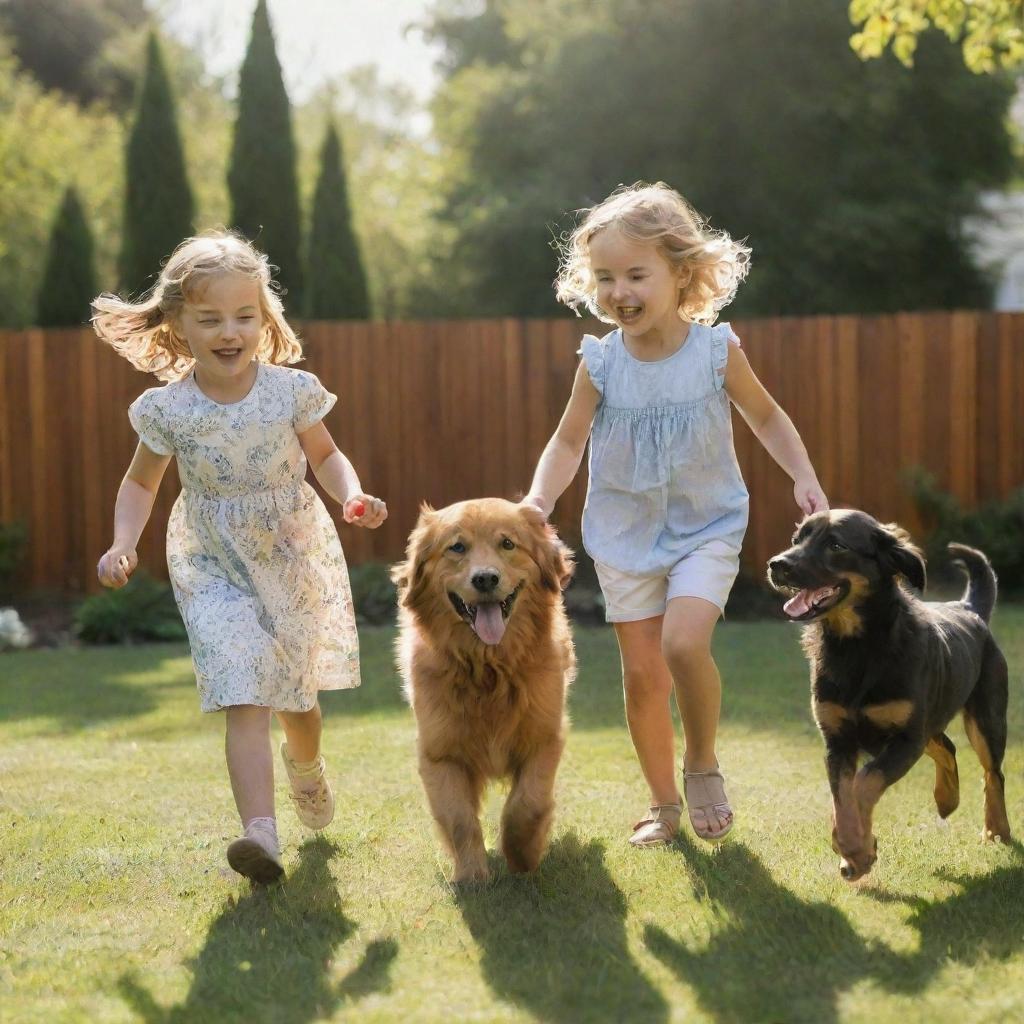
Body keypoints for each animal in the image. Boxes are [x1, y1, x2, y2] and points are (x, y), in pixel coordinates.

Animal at [393, 499, 577, 884]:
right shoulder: (440, 754)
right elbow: (459, 818)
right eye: (457, 547)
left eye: (507, 544)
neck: (489, 668)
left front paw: (523, 855)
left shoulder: (544, 738)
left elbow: (527, 804)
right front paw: (472, 875)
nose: (485, 578)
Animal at [770, 512, 1007, 880]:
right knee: (946, 746)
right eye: (797, 540)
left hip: (985, 718)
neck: (858, 646)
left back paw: (996, 830)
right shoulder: (838, 740)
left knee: (992, 773)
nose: (776, 564)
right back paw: (947, 799)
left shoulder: (906, 739)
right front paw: (853, 849)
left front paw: (856, 848)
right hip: (929, 722)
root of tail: (970, 609)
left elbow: (864, 783)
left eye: (836, 545)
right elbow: (842, 797)